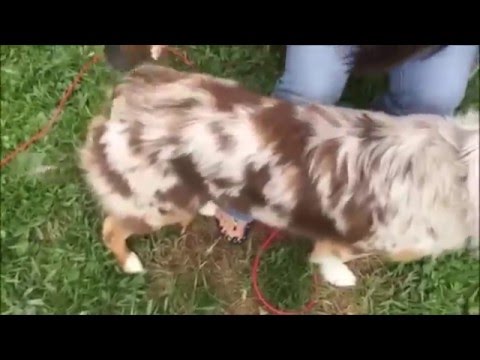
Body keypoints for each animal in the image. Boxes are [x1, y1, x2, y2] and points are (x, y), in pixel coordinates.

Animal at [79, 64, 480, 286]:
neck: (460, 170)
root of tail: (129, 93)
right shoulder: (361, 240)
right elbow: (331, 256)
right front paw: (338, 276)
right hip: (158, 204)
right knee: (111, 227)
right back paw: (130, 263)